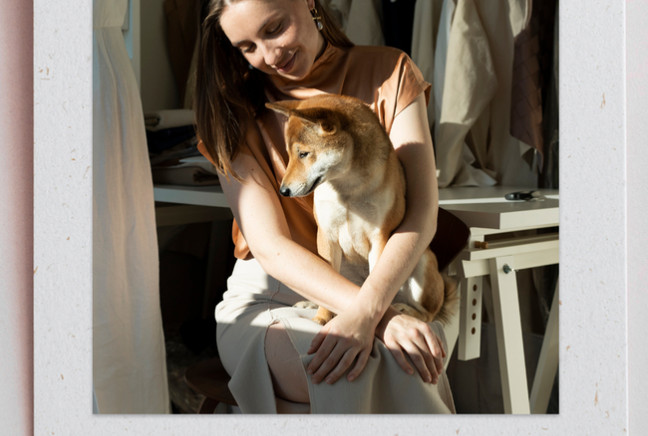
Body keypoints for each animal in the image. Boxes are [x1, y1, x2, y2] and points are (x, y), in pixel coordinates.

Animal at [266, 94, 456, 326]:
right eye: (289, 155)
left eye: (303, 153)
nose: (283, 191)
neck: (346, 188)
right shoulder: (327, 235)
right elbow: (328, 292)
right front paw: (321, 318)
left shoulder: (379, 238)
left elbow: (375, 288)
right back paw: (310, 304)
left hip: (421, 263)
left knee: (428, 313)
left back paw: (406, 310)